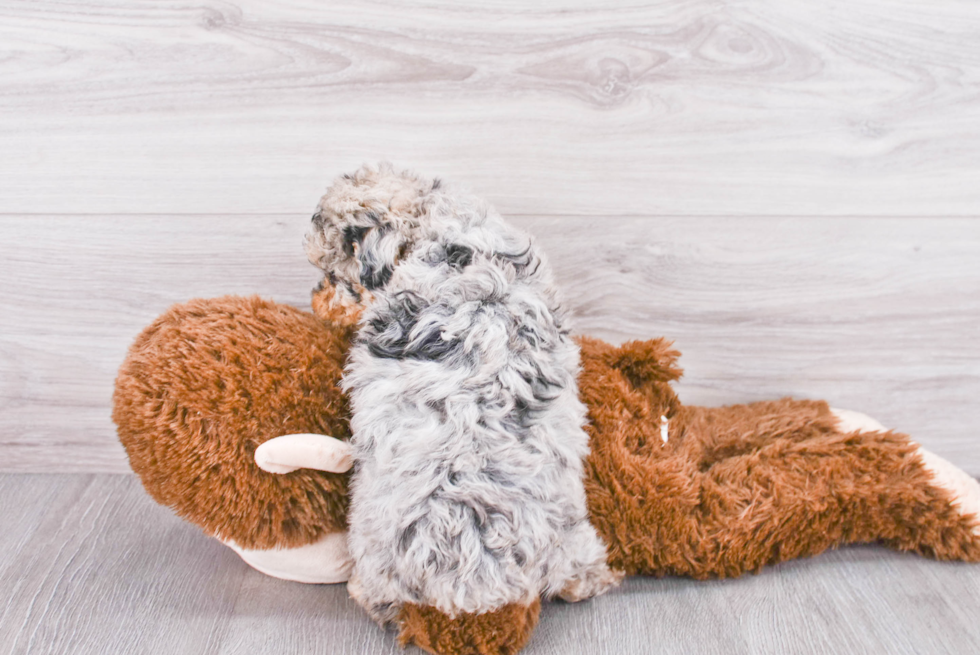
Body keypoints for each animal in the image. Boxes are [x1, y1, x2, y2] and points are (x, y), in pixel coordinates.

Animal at [306, 163, 620, 620]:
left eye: (331, 273)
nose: (314, 301)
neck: (440, 228)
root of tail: (473, 581)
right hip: (571, 529)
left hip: (373, 547)